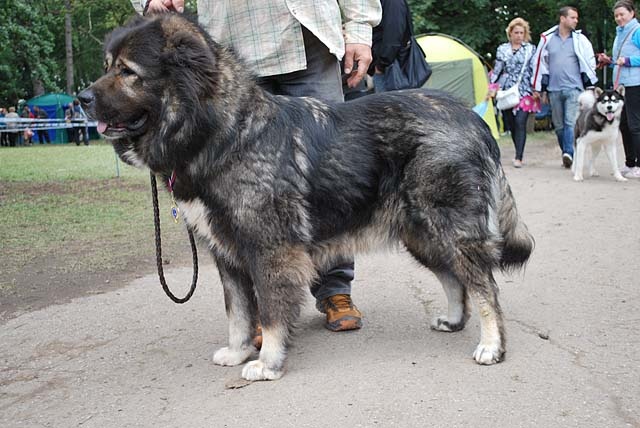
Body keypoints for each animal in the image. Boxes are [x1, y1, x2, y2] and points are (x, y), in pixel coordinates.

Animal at [77, 14, 532, 382]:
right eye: (107, 67)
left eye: (128, 71)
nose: (82, 99)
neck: (225, 132)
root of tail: (472, 119)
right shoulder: (226, 253)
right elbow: (238, 312)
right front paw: (240, 351)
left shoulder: (271, 250)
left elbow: (270, 313)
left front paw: (267, 363)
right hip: (421, 234)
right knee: (455, 279)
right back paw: (454, 321)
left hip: (451, 229)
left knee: (484, 286)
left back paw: (492, 346)